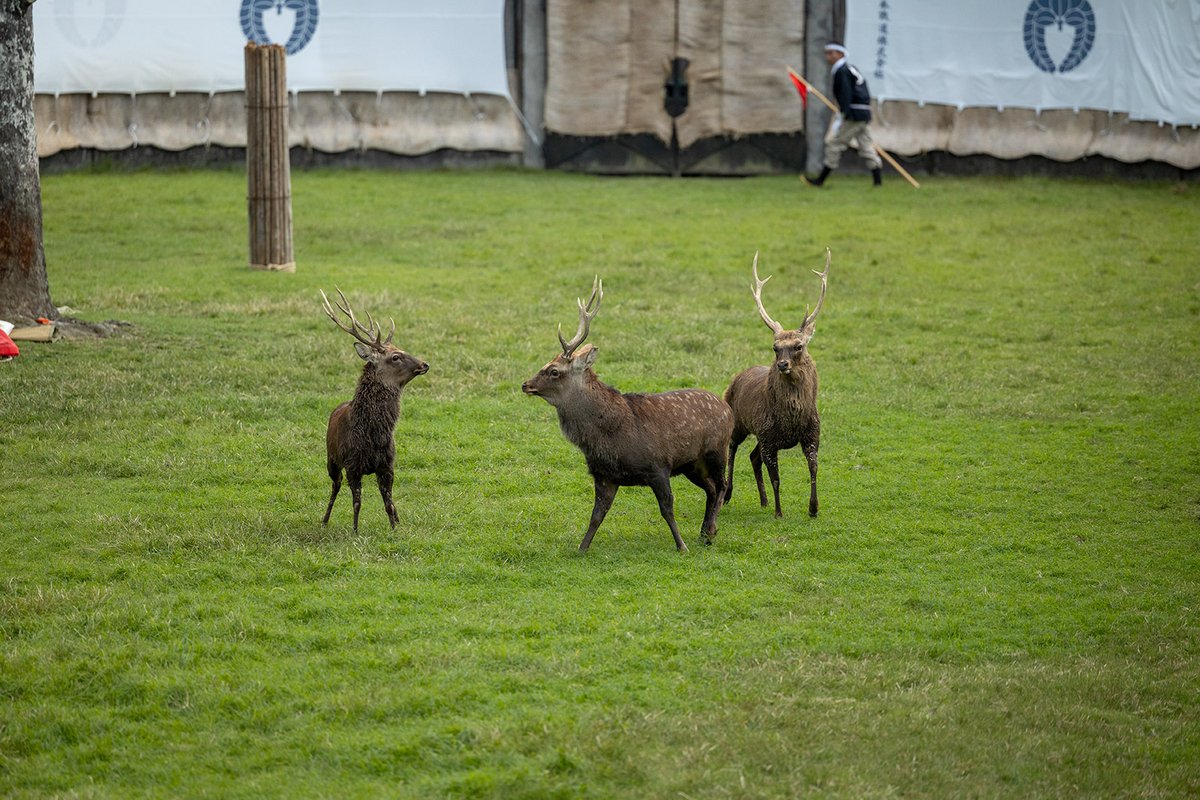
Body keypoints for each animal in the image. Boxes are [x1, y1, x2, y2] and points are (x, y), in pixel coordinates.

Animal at [321, 287, 429, 532]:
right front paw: (355, 531)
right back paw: (324, 519)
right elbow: (357, 503)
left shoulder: (387, 464)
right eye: (395, 357)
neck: (372, 434)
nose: (425, 364)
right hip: (331, 459)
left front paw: (395, 528)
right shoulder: (352, 465)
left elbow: (389, 503)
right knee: (334, 487)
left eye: (401, 349)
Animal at [523, 280, 734, 551]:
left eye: (554, 371)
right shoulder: (604, 475)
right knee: (710, 489)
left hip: (717, 451)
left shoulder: (658, 466)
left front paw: (681, 546)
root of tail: (728, 407)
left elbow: (667, 509)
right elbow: (597, 515)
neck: (612, 435)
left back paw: (710, 530)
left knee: (722, 485)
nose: (526, 384)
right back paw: (704, 533)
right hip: (690, 463)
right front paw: (581, 549)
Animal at [724, 250, 830, 520]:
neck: (791, 421)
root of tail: (737, 377)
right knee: (732, 449)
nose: (782, 364)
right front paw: (779, 512)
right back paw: (727, 493)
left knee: (753, 457)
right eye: (775, 347)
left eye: (799, 346)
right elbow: (777, 479)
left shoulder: (812, 433)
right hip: (739, 422)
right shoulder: (769, 439)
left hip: (758, 436)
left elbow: (814, 469)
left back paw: (762, 501)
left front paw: (813, 508)